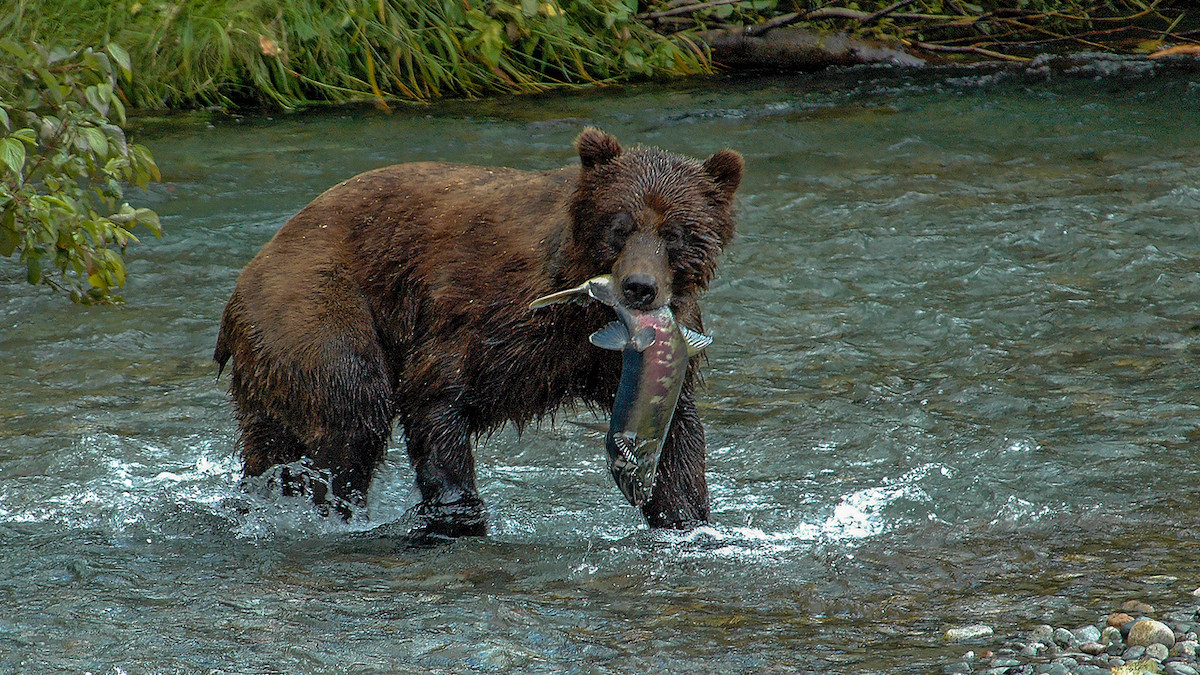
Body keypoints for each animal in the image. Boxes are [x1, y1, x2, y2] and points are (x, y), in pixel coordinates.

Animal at [214, 128, 742, 537]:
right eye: (619, 226)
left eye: (676, 233)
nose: (639, 287)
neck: (585, 305)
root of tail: (247, 275)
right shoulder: (489, 308)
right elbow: (437, 392)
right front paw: (459, 512)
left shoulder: (629, 353)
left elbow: (677, 435)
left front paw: (686, 518)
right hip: (313, 302)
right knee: (352, 409)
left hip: (273, 357)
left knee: (271, 439)